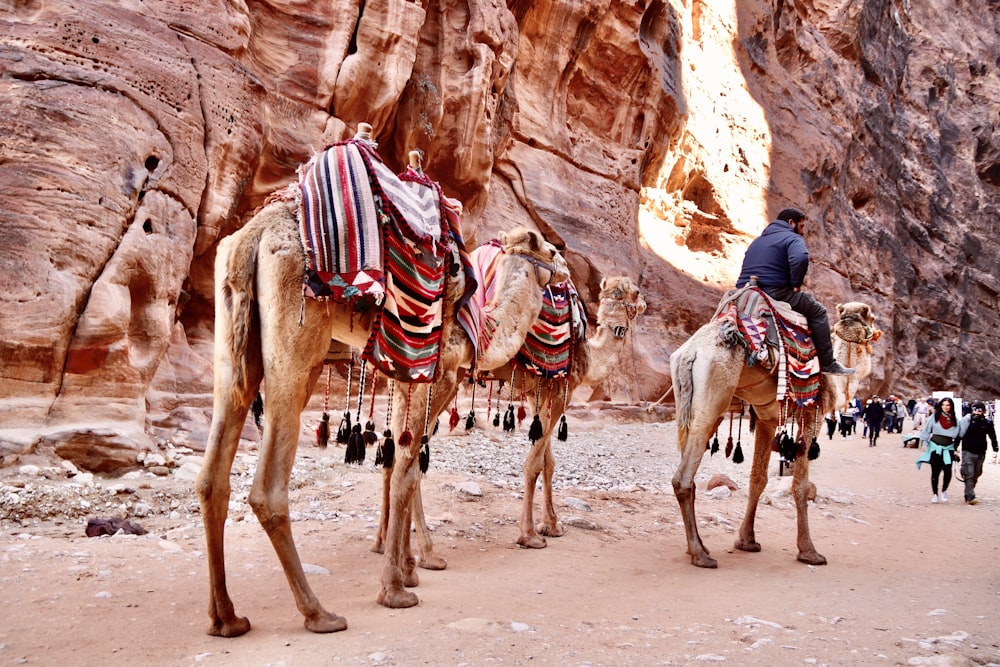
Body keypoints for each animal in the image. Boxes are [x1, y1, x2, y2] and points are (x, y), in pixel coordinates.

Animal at [197, 190, 572, 636]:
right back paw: (318, 613)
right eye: (551, 251)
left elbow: (400, 466)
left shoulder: (408, 374)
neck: (483, 325)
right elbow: (408, 471)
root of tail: (252, 236)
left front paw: (411, 568)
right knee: (268, 487)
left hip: (232, 340)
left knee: (212, 476)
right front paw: (396, 588)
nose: (567, 272)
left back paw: (226, 618)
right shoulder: (440, 373)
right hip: (298, 335)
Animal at [668, 300, 880, 568]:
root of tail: (691, 352)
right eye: (872, 316)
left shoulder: (766, 419)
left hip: (685, 404)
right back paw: (700, 554)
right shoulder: (811, 414)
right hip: (713, 397)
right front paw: (809, 551)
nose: (854, 318)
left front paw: (747, 540)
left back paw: (697, 546)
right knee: (683, 478)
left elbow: (758, 478)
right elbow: (800, 485)